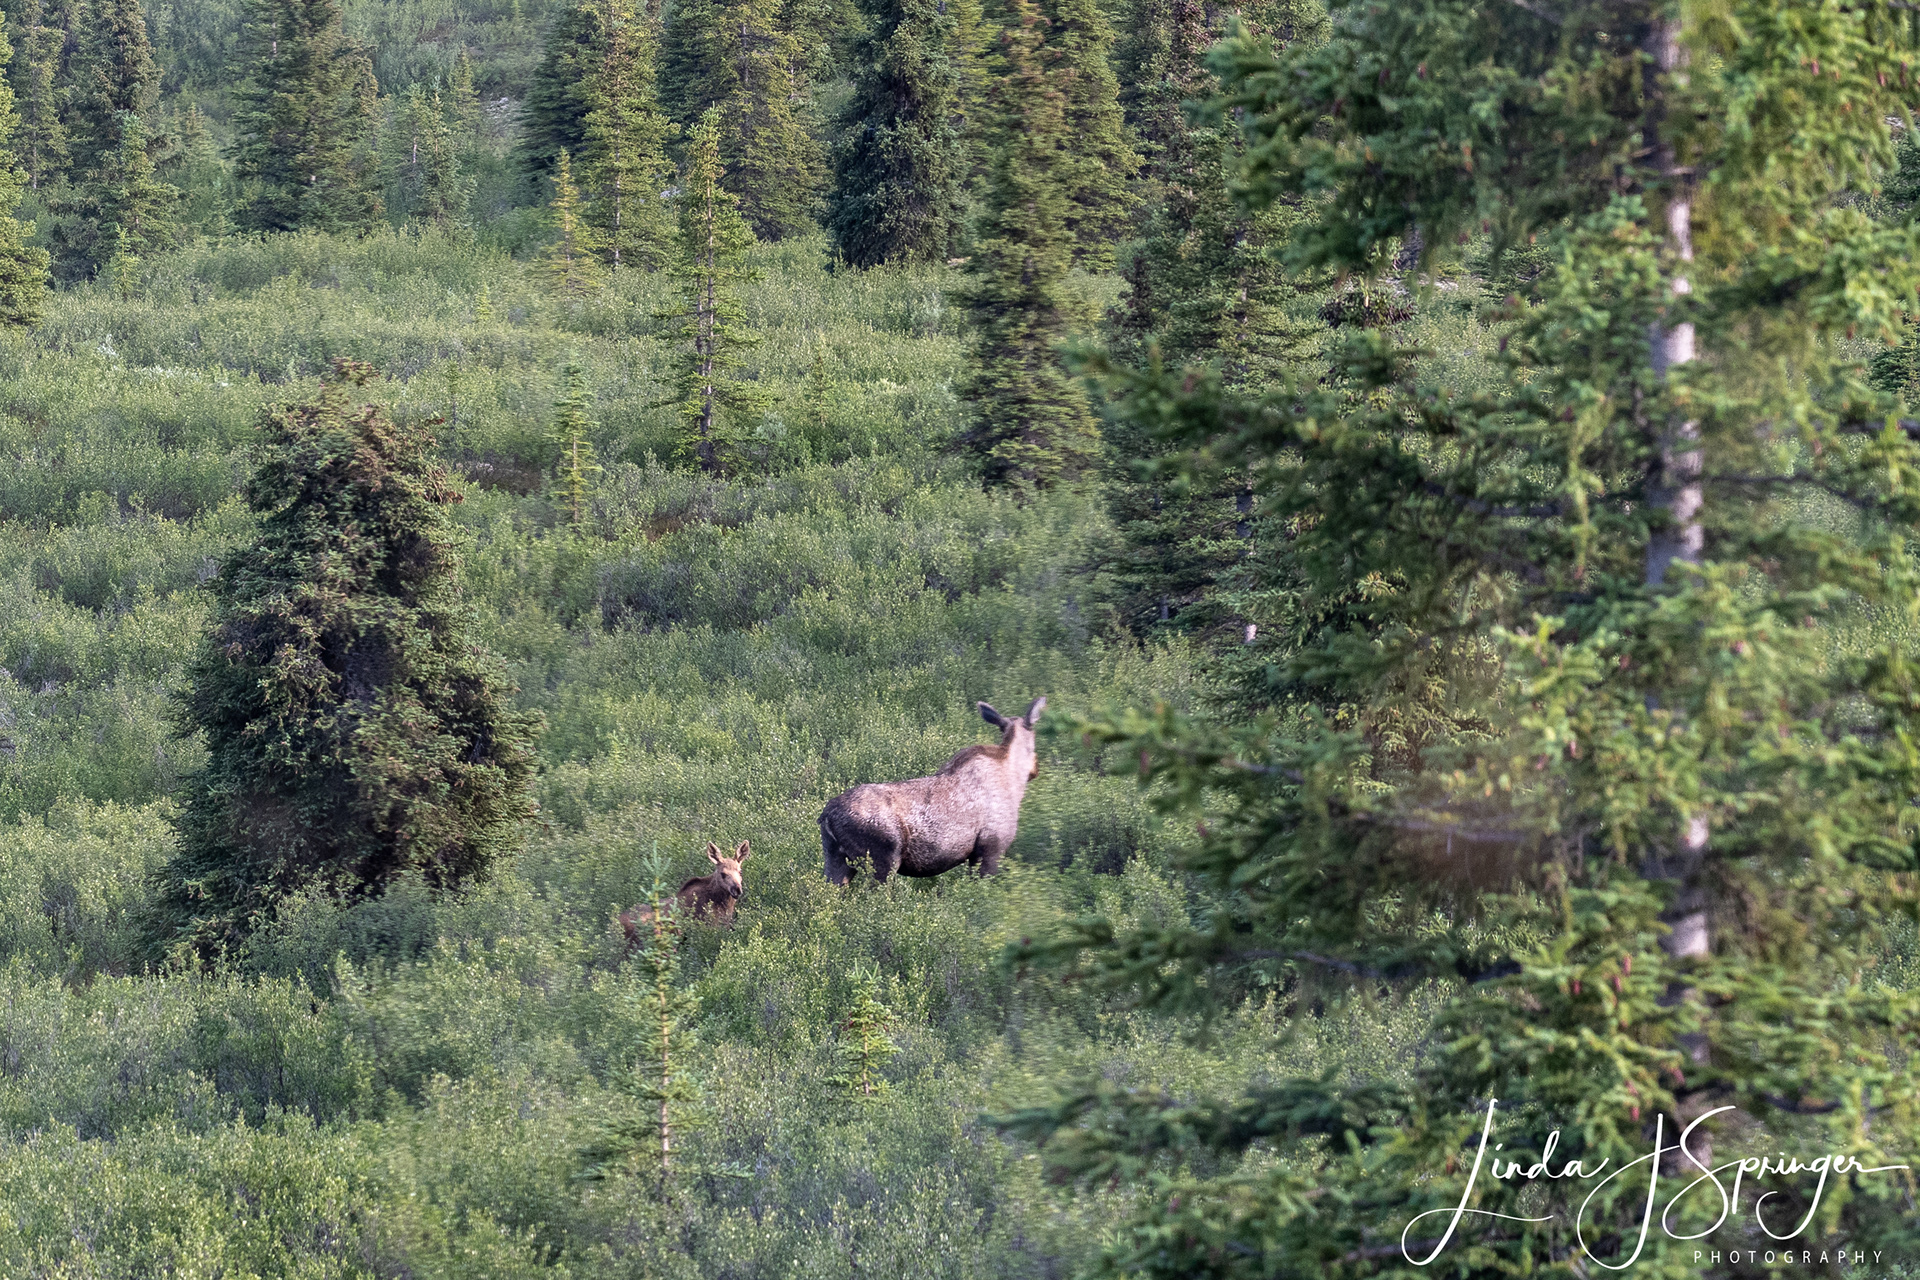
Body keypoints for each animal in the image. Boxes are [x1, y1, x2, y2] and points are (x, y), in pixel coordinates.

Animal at [819, 697, 1044, 884]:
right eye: (1034, 744)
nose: (1036, 767)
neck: (1014, 778)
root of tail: (826, 816)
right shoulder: (990, 849)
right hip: (883, 860)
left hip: (835, 859)